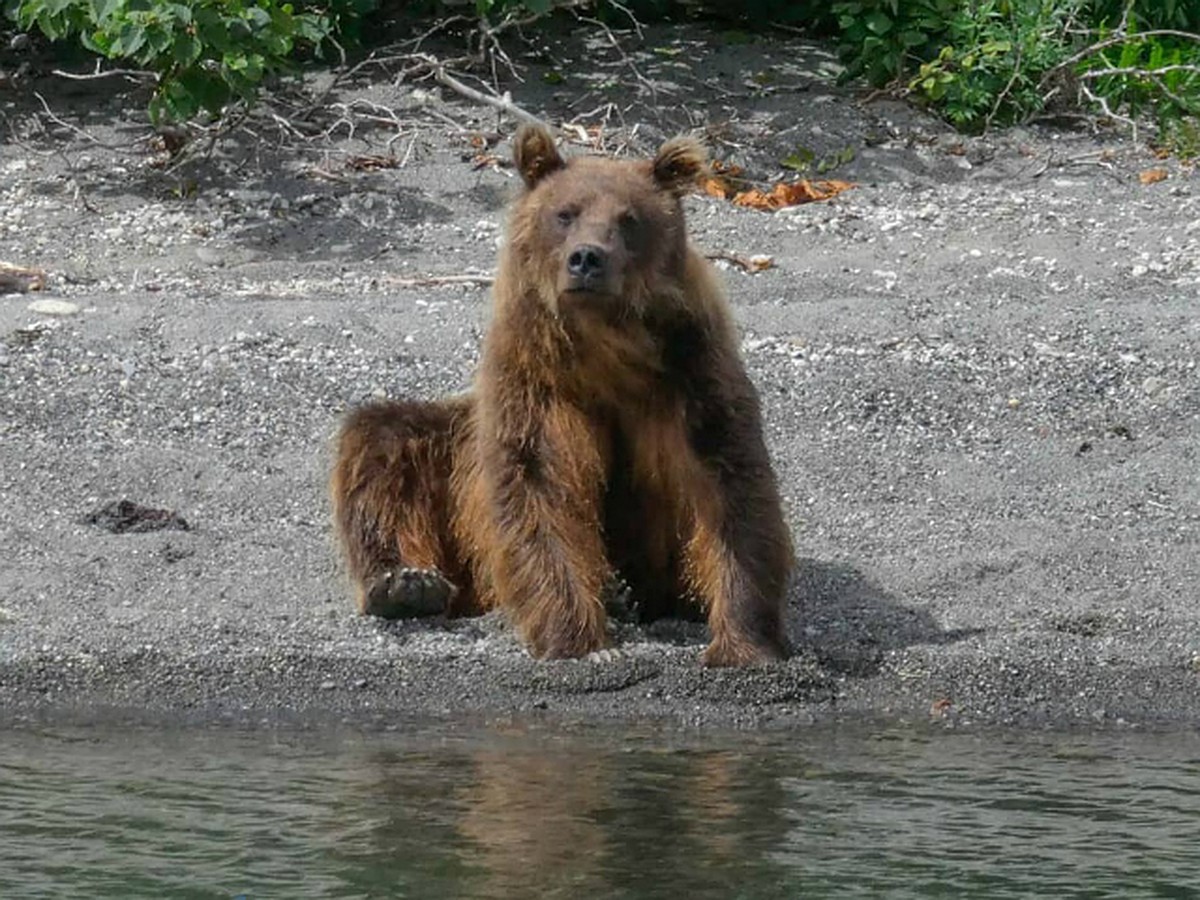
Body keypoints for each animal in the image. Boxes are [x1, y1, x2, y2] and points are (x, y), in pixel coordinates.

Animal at [331, 123, 796, 667]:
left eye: (628, 219)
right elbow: (536, 486)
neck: (606, 347)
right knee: (382, 442)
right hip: (450, 451)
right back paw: (406, 583)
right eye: (565, 213)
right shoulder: (535, 377)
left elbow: (730, 485)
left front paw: (745, 641)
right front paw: (576, 639)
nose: (586, 258)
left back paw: (622, 593)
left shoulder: (693, 369)